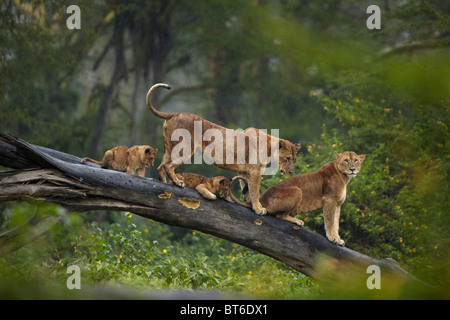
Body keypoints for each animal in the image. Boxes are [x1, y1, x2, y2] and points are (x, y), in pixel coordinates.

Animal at [147, 82, 298, 215]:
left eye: (294, 159)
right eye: (288, 158)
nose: (290, 172)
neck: (269, 146)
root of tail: (174, 113)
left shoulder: (245, 171)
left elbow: (247, 190)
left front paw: (249, 205)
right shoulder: (255, 171)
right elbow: (255, 191)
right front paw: (259, 208)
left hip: (169, 147)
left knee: (161, 166)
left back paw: (165, 184)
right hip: (185, 147)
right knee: (169, 165)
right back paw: (178, 182)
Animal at [236, 151, 366, 246]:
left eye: (356, 160)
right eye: (346, 160)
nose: (352, 169)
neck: (344, 177)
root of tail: (261, 199)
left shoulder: (338, 204)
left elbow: (336, 223)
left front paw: (338, 239)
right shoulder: (330, 201)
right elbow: (329, 222)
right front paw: (331, 237)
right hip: (297, 190)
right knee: (279, 215)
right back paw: (297, 221)